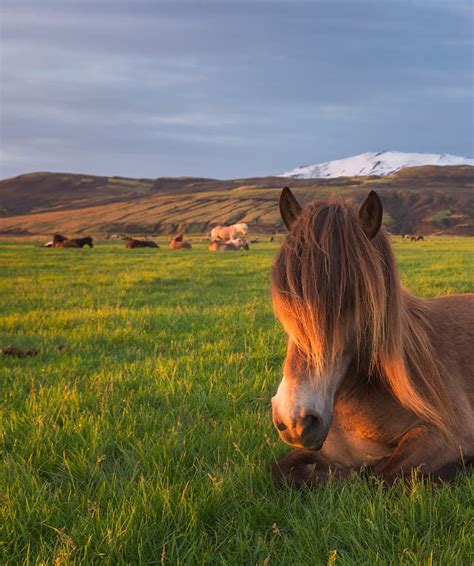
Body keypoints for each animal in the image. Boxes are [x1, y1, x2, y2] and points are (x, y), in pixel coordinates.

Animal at [268, 187, 472, 488]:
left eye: (357, 297)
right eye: (287, 297)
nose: (296, 421)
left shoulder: (448, 435)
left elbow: (379, 474)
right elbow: (280, 470)